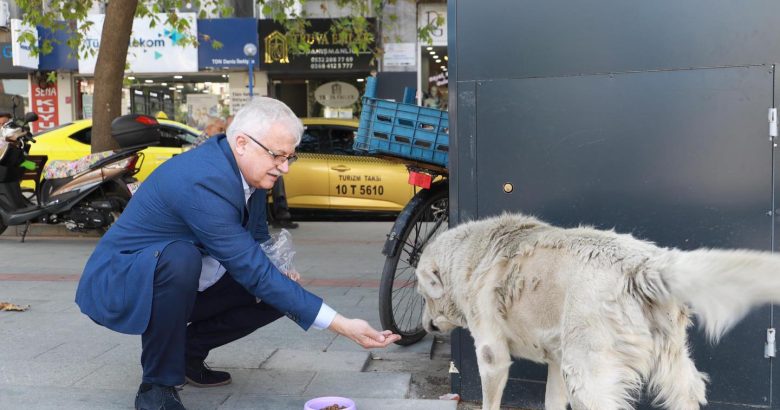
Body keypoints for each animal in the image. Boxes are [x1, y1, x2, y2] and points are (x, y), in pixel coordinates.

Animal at [418, 213, 780, 408]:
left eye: (423, 294)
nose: (424, 327)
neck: (470, 256)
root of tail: (644, 266)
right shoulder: (557, 360)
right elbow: (552, 400)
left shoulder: (492, 352)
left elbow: (490, 397)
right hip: (669, 354)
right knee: (689, 390)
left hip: (589, 367)